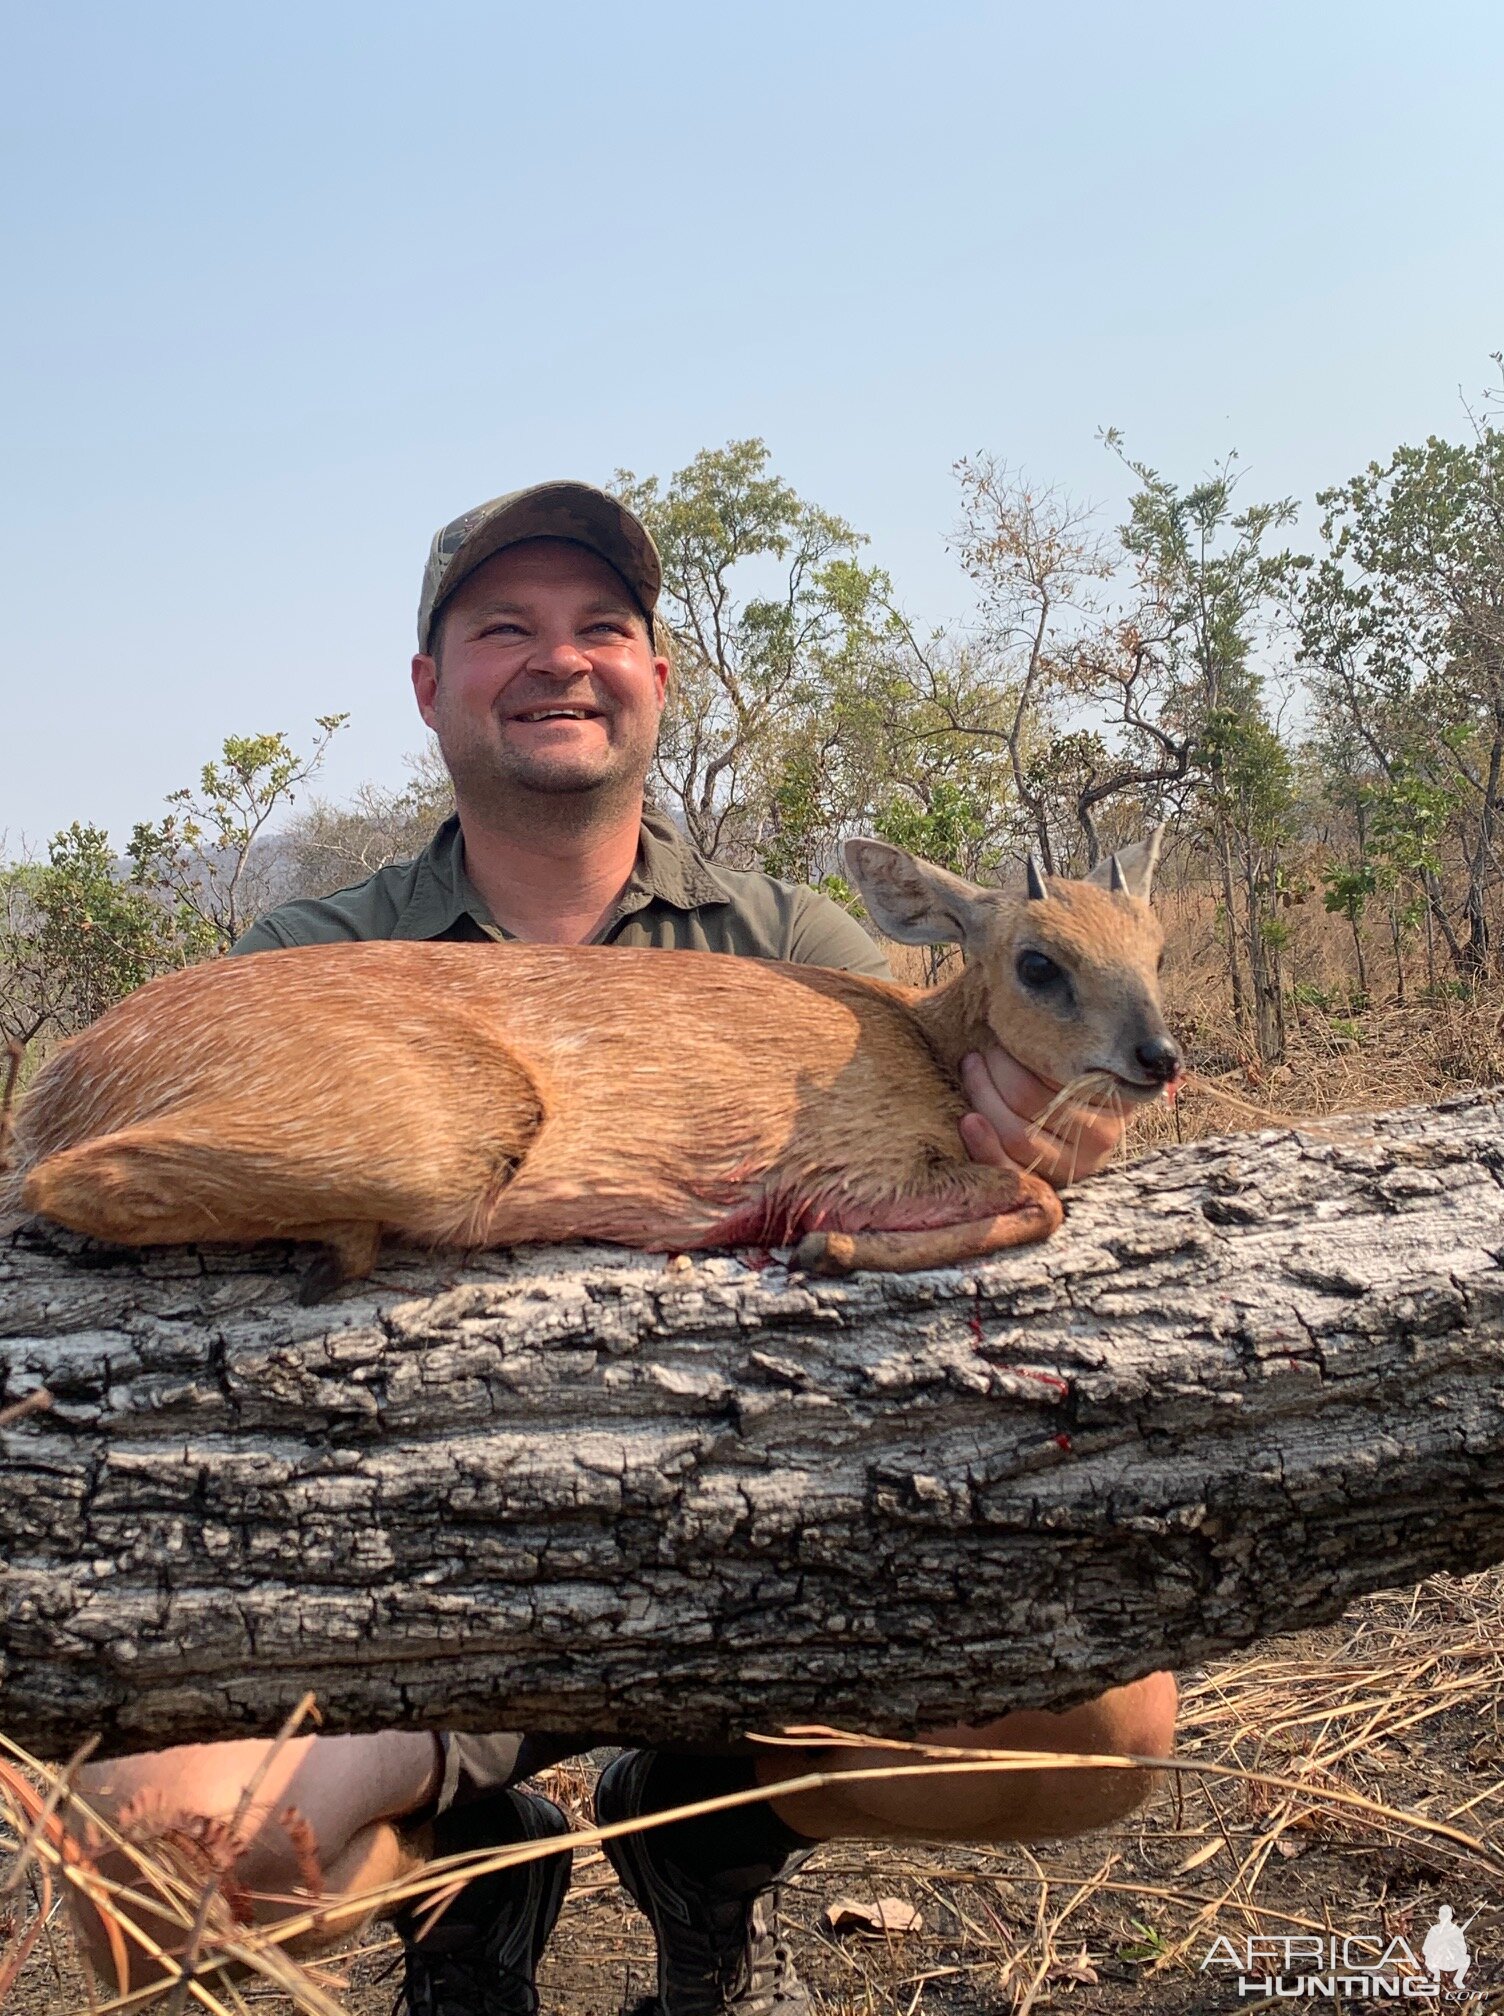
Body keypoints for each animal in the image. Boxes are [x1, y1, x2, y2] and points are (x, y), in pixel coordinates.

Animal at [0, 830, 1177, 1290]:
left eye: (1156, 946)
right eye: (1037, 960)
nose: (1157, 1056)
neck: (923, 1035)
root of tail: (69, 1076)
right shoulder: (855, 1161)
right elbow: (1039, 1197)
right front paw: (824, 1252)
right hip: (440, 1126)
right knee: (64, 1183)